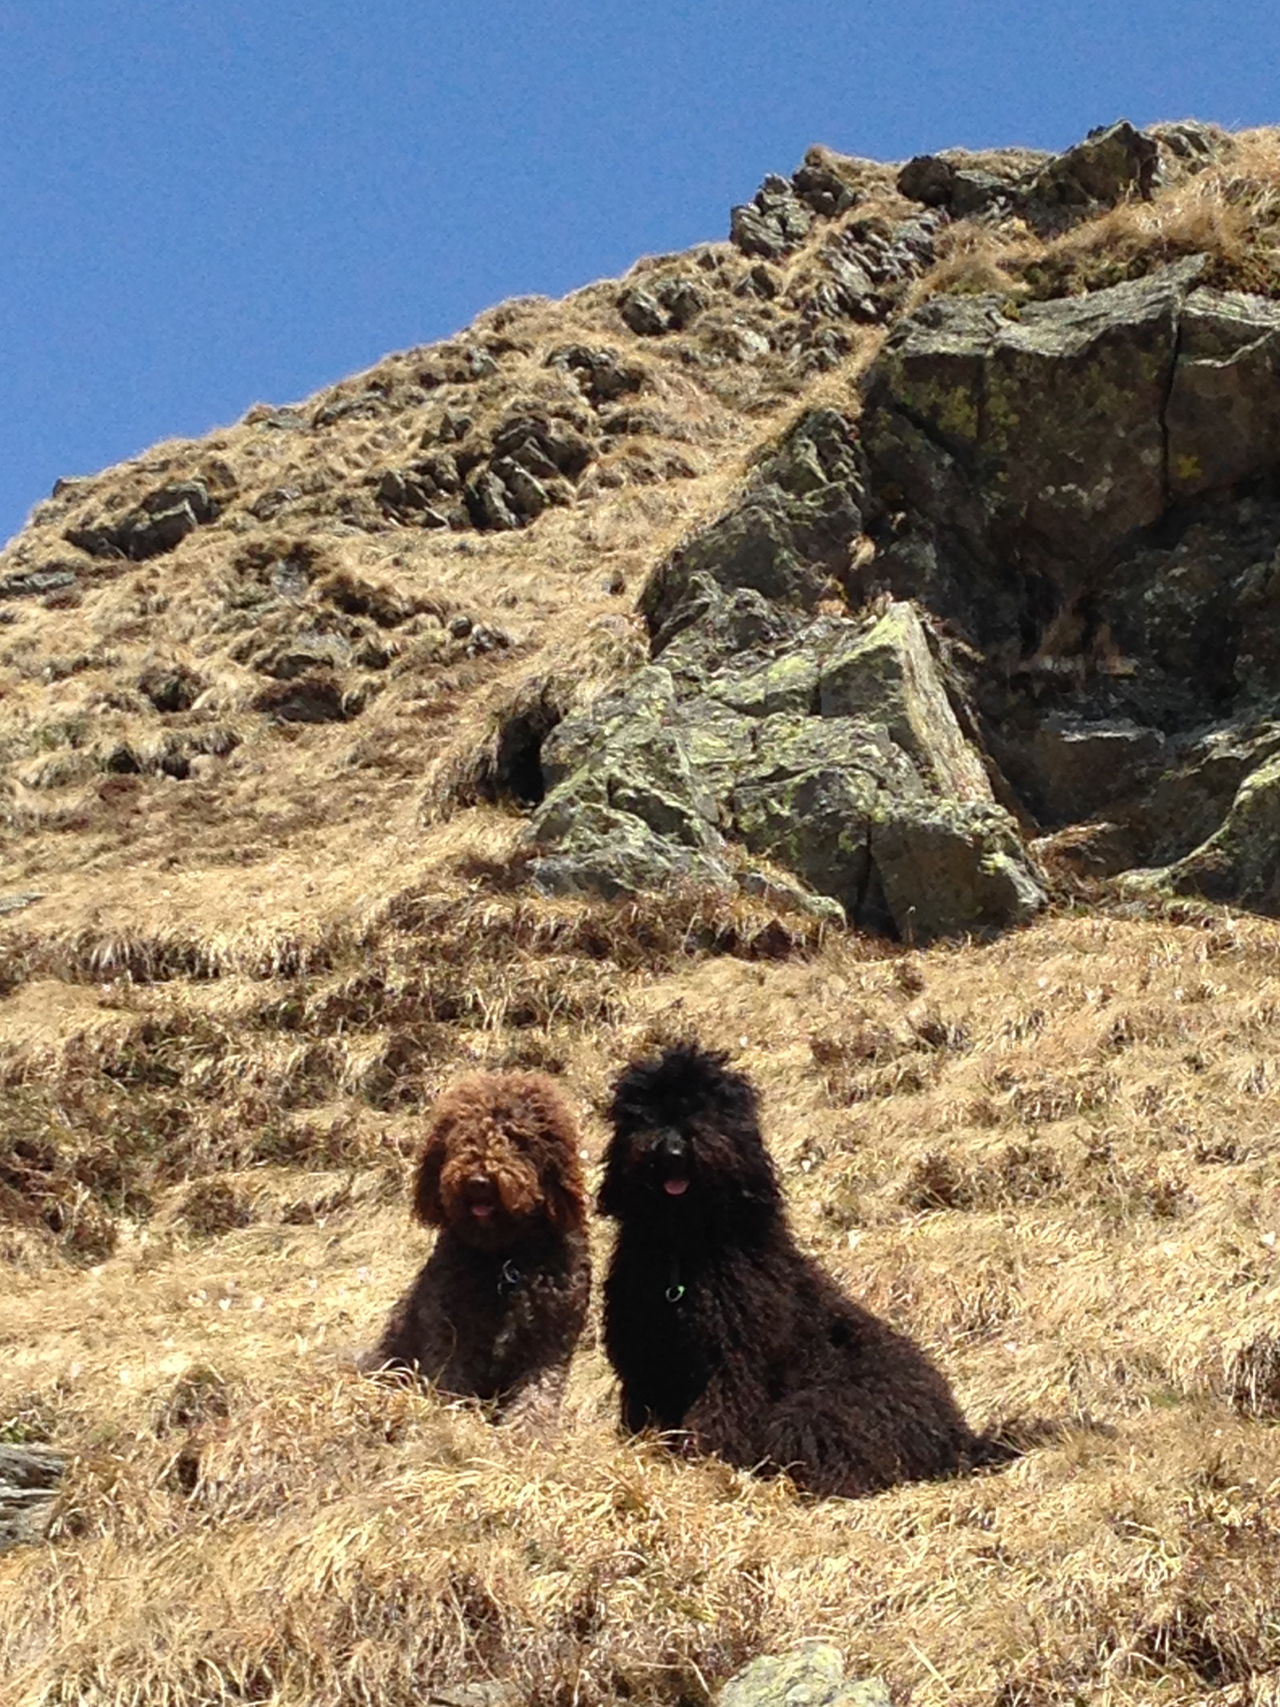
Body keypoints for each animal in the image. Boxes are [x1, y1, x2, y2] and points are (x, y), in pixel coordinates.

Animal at [368, 1071, 593, 1420]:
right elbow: (452, 1381)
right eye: (463, 1136)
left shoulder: (550, 1341)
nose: (478, 1183)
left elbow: (536, 1400)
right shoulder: (451, 1333)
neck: (506, 1257)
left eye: (515, 1137)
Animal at [604, 1037, 1024, 1495]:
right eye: (646, 1112)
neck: (685, 1248)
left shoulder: (731, 1361)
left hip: (820, 1410)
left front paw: (705, 1460)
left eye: (707, 1107)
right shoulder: (645, 1356)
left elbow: (719, 1413)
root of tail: (958, 1435)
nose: (673, 1151)